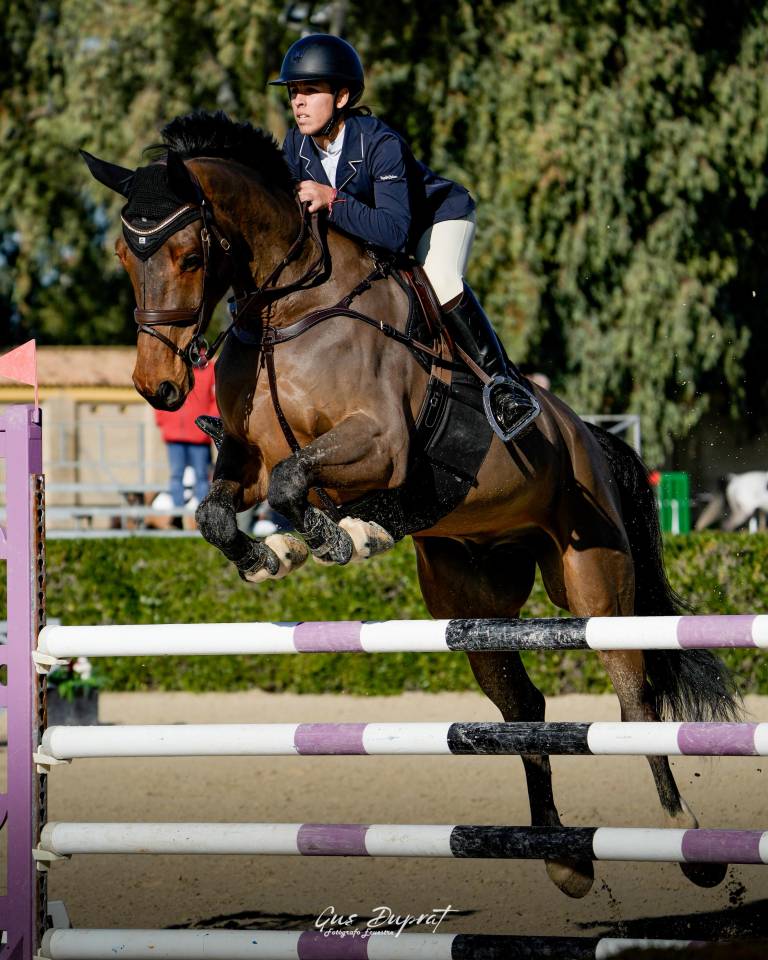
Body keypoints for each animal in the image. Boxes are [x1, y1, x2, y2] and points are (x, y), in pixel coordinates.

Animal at [81, 110, 738, 899]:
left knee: (635, 699)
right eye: (123, 253)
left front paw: (327, 539)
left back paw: (688, 842)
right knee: (523, 710)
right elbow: (220, 511)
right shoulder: (242, 459)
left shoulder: (380, 442)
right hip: (470, 599)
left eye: (184, 255)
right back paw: (562, 855)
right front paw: (275, 553)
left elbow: (294, 481)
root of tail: (589, 436)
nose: (159, 388)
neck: (291, 309)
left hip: (595, 581)